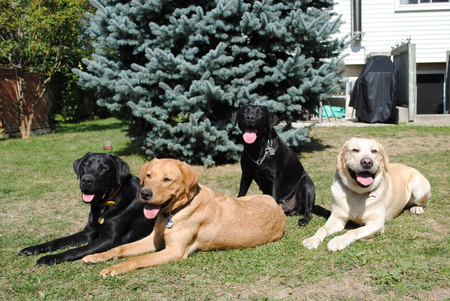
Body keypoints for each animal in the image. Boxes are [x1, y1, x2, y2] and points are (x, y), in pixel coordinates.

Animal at [18, 152, 156, 264]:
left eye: (104, 168)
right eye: (84, 165)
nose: (86, 180)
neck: (106, 205)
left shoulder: (109, 239)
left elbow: (75, 250)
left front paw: (50, 258)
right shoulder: (89, 231)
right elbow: (59, 240)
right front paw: (34, 248)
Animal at [82, 158, 286, 276]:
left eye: (167, 179)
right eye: (148, 175)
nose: (145, 193)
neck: (173, 213)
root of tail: (279, 209)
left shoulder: (175, 250)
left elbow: (137, 259)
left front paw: (115, 268)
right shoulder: (153, 240)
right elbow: (121, 248)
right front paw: (97, 256)